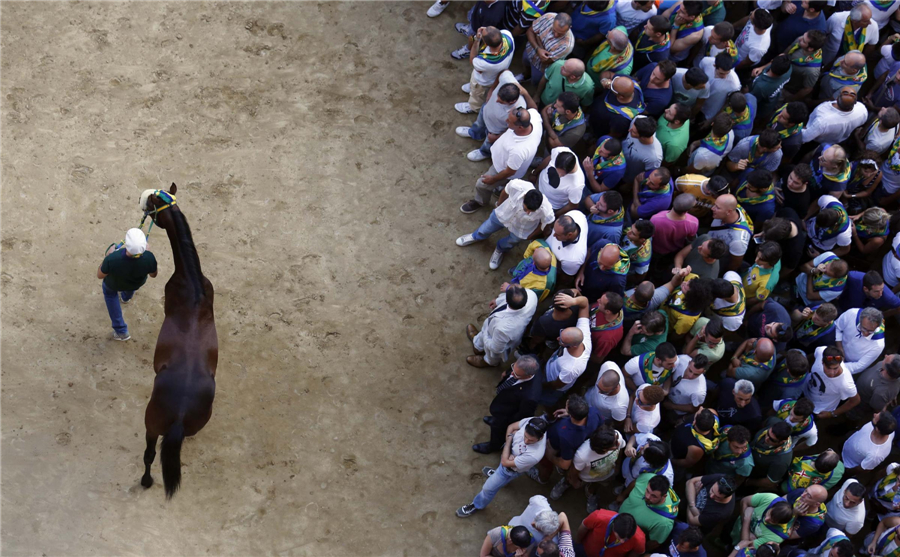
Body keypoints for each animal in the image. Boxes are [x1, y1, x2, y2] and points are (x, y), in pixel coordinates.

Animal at [139, 184, 220, 500]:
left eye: (151, 204)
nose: (141, 206)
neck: (193, 285)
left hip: (150, 425)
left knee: (149, 455)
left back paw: (145, 480)